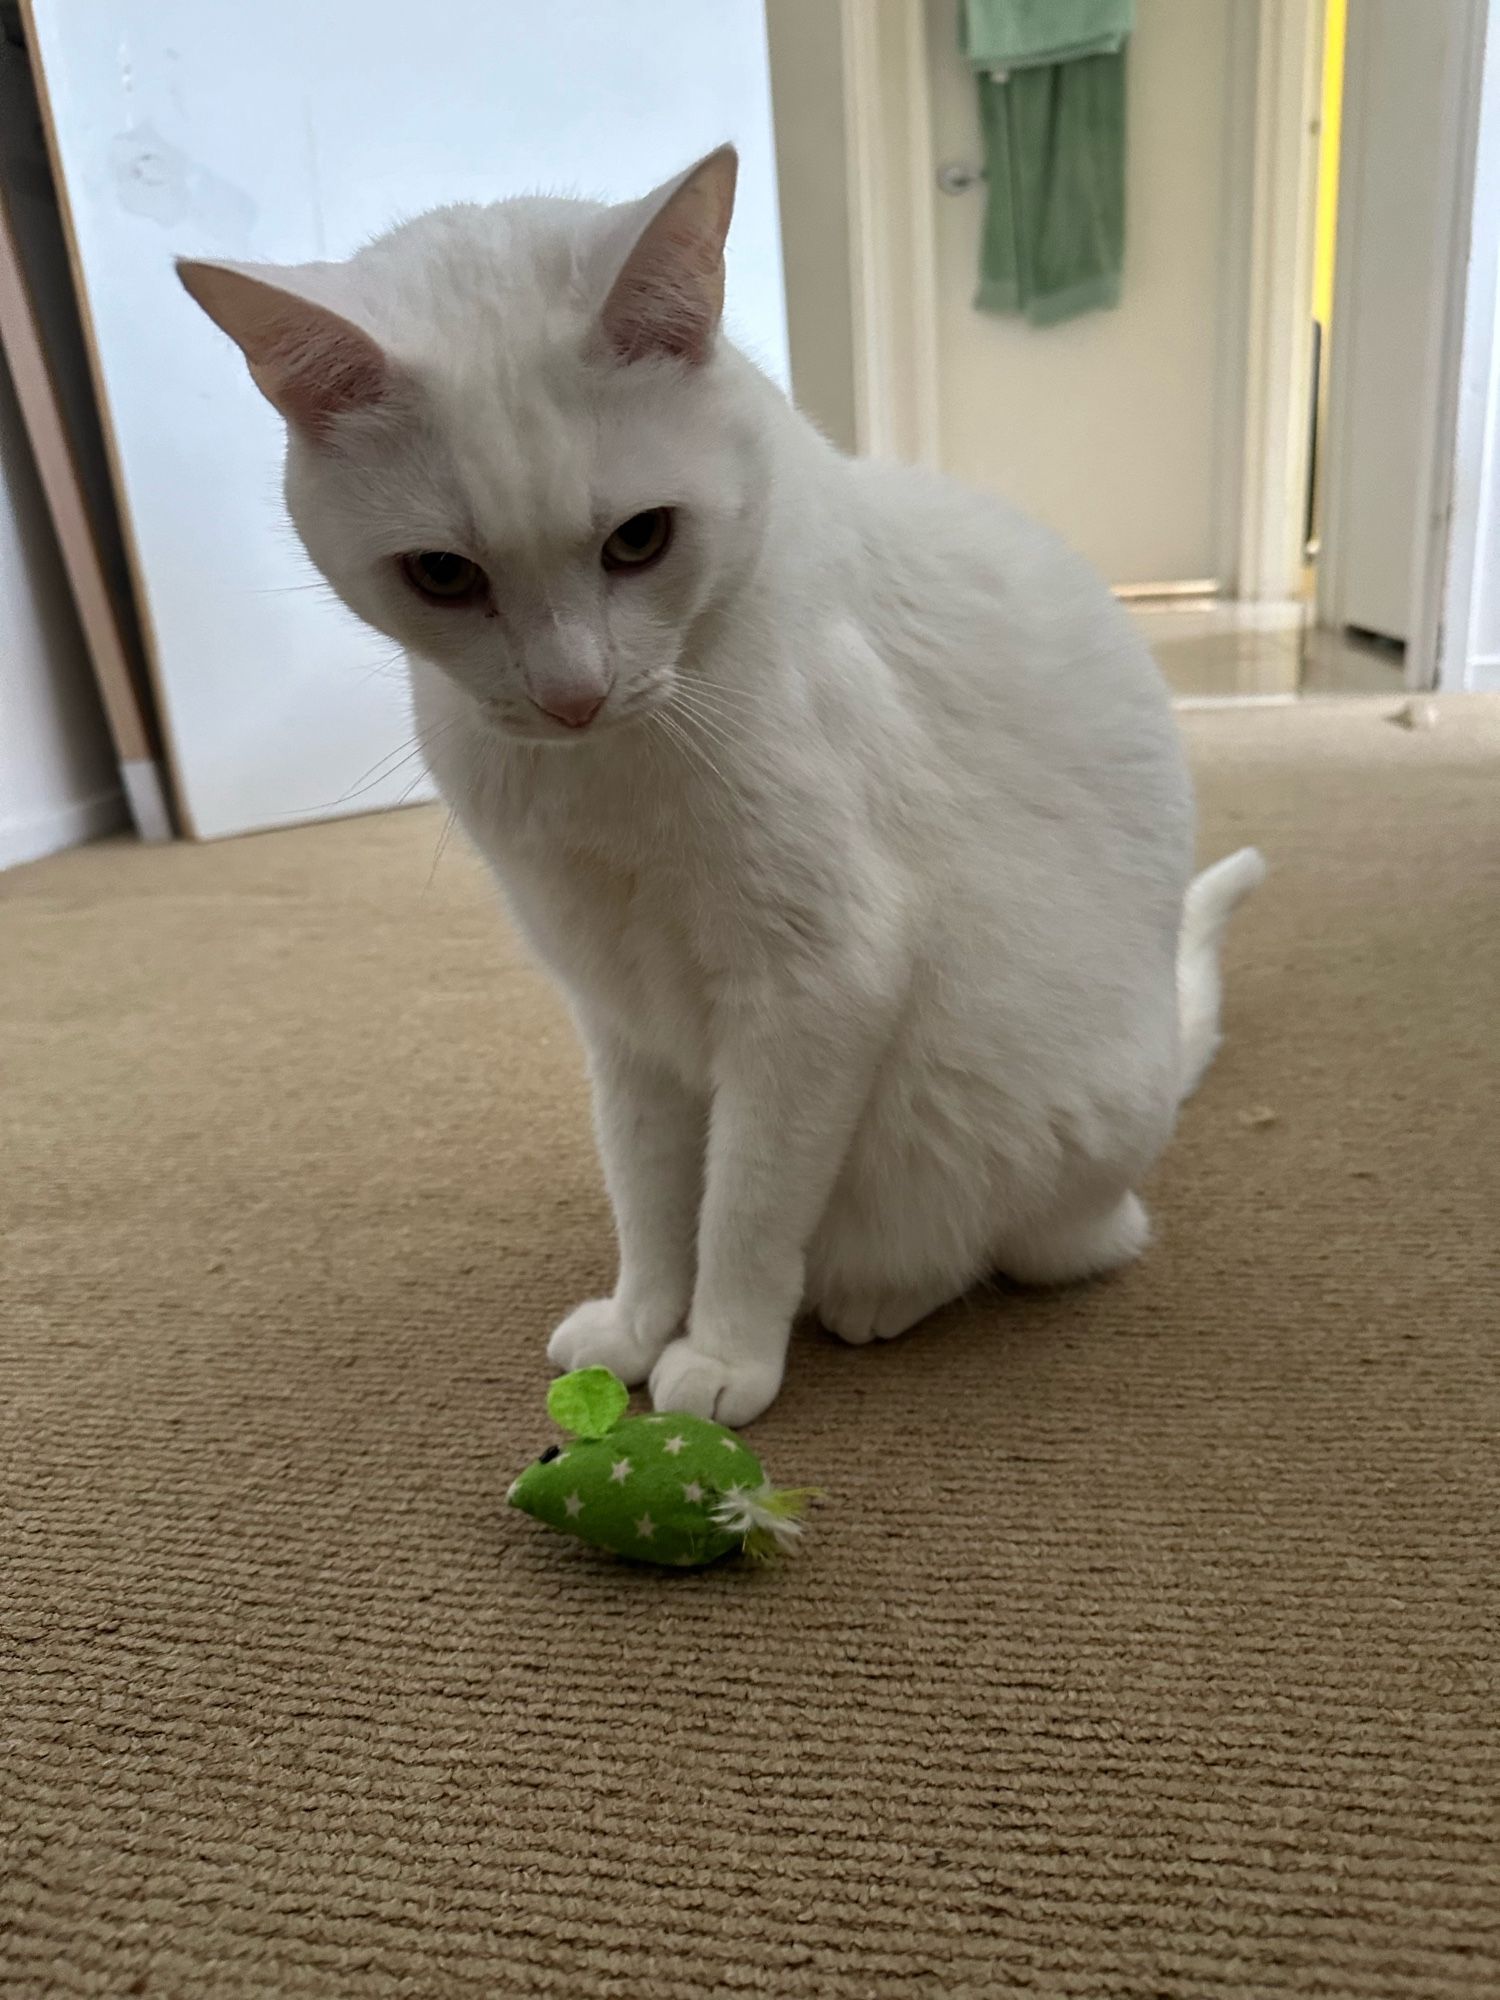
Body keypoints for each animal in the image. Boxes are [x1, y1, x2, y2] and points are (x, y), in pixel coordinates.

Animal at [179, 145, 1272, 1424]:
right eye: (443, 574)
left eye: (639, 541)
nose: (572, 692)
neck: (602, 781)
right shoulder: (619, 1010)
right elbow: (652, 1195)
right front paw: (642, 1323)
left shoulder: (814, 986)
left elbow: (745, 1205)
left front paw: (723, 1353)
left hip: (1022, 1133)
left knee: (1034, 1244)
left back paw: (877, 1294)